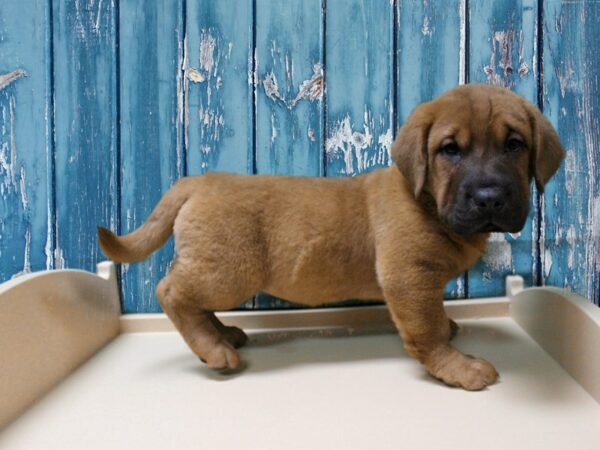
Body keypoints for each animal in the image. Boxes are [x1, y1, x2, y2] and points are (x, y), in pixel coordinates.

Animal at [98, 84, 564, 390]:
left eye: (515, 145)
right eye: (450, 150)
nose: (489, 197)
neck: (430, 204)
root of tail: (198, 181)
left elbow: (433, 319)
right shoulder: (409, 278)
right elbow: (426, 330)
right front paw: (456, 368)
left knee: (194, 302)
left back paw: (220, 335)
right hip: (229, 272)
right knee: (171, 291)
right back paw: (213, 350)